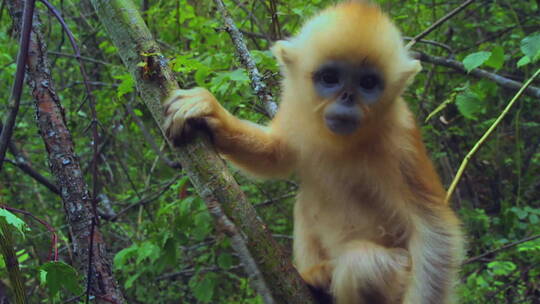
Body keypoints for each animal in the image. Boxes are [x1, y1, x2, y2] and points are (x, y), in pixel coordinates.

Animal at [163, 0, 464, 304]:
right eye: (330, 78)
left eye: (367, 83)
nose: (347, 98)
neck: (343, 143)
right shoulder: (295, 110)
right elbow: (277, 155)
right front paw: (210, 114)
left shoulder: (401, 141)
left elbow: (435, 232)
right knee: (306, 203)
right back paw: (318, 281)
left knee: (362, 265)